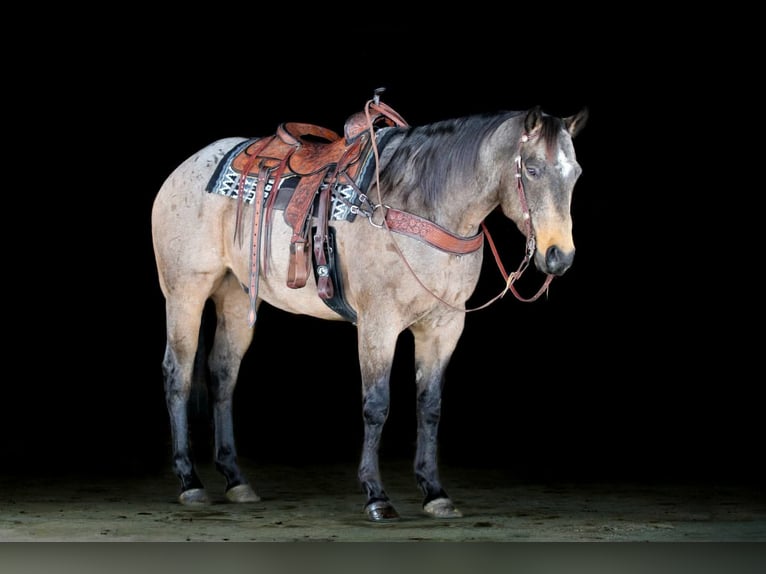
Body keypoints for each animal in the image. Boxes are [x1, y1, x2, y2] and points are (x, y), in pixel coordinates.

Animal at [151, 93, 588, 521]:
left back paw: (236, 480)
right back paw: (190, 482)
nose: (559, 256)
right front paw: (376, 496)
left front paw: (434, 492)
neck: (425, 205)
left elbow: (430, 406)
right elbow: (377, 405)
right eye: (532, 169)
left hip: (237, 295)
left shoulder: (444, 326)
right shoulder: (379, 322)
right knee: (177, 375)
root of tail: (184, 169)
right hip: (185, 292)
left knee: (223, 374)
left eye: (576, 174)